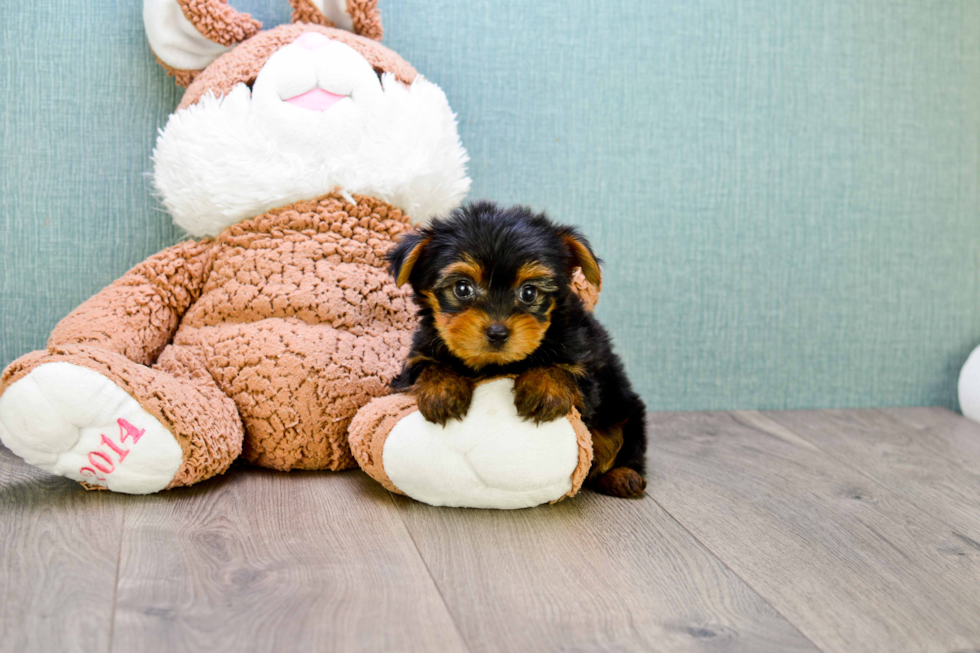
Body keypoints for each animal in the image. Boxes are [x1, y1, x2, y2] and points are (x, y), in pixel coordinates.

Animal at [386, 201, 648, 496]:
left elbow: (566, 372)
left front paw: (544, 388)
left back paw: (624, 475)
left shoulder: (587, 366)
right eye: (462, 288)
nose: (497, 332)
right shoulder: (416, 356)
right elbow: (427, 365)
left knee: (624, 442)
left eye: (529, 292)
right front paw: (442, 390)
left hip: (626, 409)